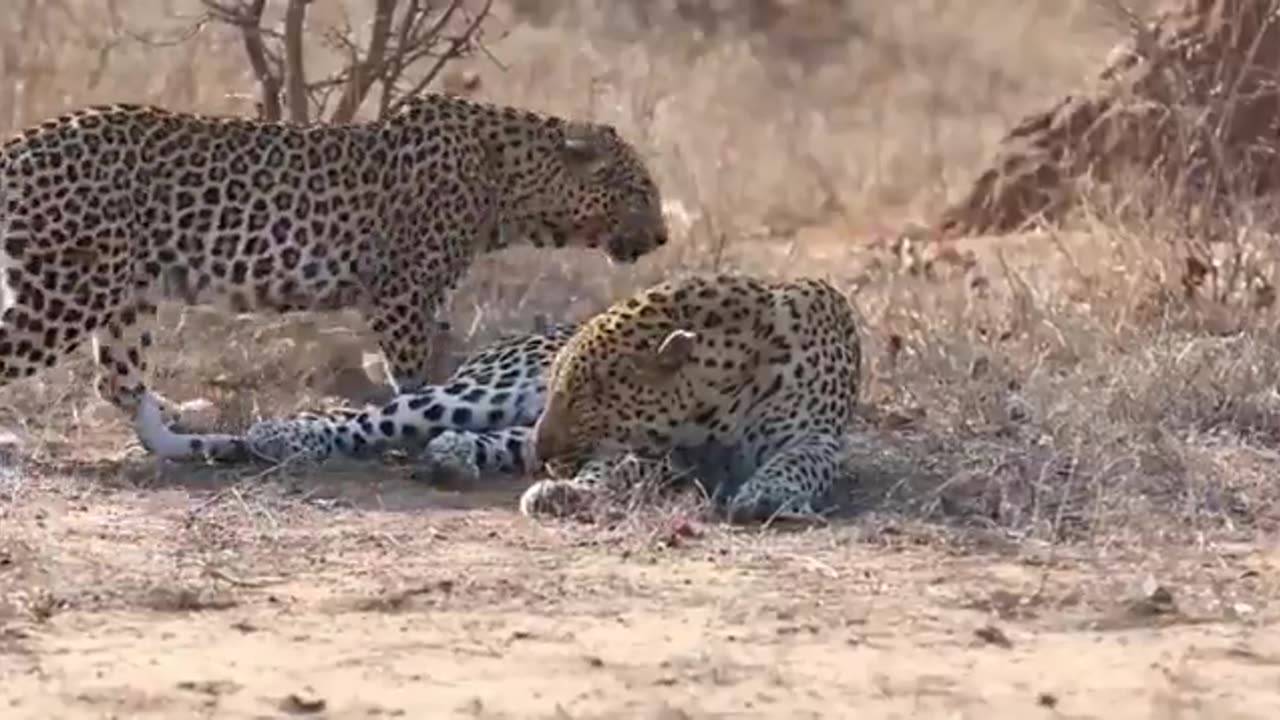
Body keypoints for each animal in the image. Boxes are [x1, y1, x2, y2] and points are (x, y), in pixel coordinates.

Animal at [0, 93, 668, 461]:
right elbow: (414, 382)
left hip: (126, 293)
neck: (510, 184)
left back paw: (197, 446)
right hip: (67, 291)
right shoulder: (403, 296)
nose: (663, 236)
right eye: (640, 191)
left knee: (118, 384)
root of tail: (22, 145)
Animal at [146, 273, 863, 524]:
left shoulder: (815, 437)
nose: (551, 453)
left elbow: (798, 462)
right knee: (379, 418)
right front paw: (568, 493)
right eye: (567, 387)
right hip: (479, 391)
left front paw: (770, 495)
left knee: (468, 439)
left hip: (504, 422)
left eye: (590, 393)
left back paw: (455, 458)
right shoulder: (650, 451)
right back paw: (279, 436)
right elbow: (616, 469)